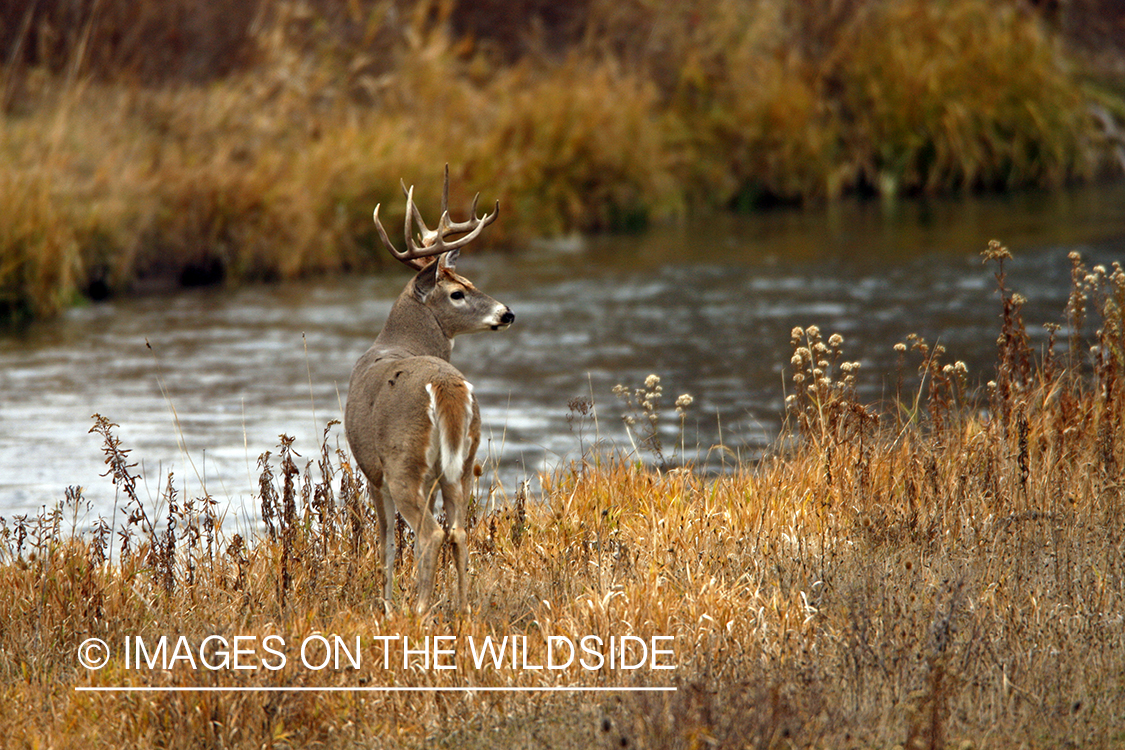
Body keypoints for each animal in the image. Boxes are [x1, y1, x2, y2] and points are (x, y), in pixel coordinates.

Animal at [344, 168, 515, 616]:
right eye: (459, 291)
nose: (507, 313)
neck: (397, 340)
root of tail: (445, 385)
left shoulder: (373, 470)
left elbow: (385, 545)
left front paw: (385, 605)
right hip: (465, 461)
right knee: (459, 530)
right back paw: (463, 608)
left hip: (404, 464)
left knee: (431, 534)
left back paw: (418, 611)